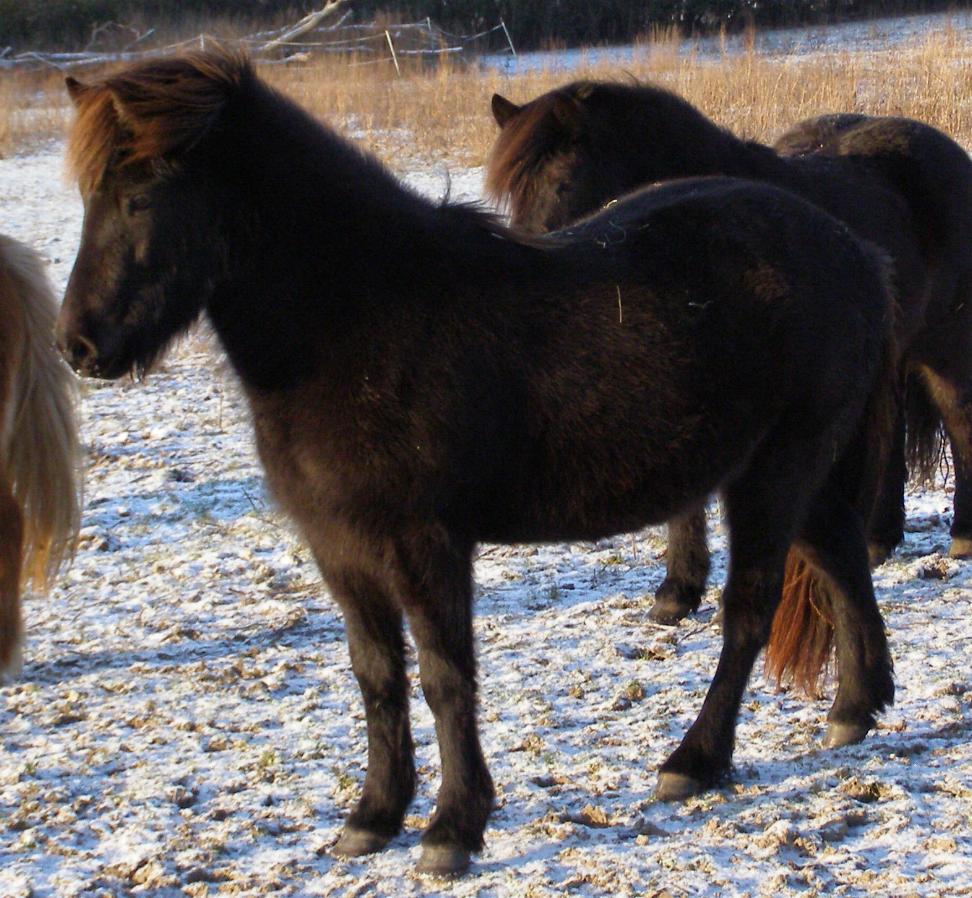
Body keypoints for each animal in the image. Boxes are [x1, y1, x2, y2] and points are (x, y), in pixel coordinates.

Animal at [58, 50, 896, 876]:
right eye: (89, 195)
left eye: (143, 194)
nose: (79, 346)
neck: (358, 317)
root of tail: (855, 250)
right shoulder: (340, 547)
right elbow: (377, 677)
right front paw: (373, 817)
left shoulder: (424, 542)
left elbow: (444, 678)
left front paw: (451, 830)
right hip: (786, 470)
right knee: (841, 558)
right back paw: (855, 709)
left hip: (773, 472)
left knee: (750, 609)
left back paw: (694, 762)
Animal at [486, 82, 972, 644]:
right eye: (510, 193)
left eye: (563, 182)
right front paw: (677, 592)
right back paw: (877, 539)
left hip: (945, 347)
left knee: (959, 420)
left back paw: (962, 536)